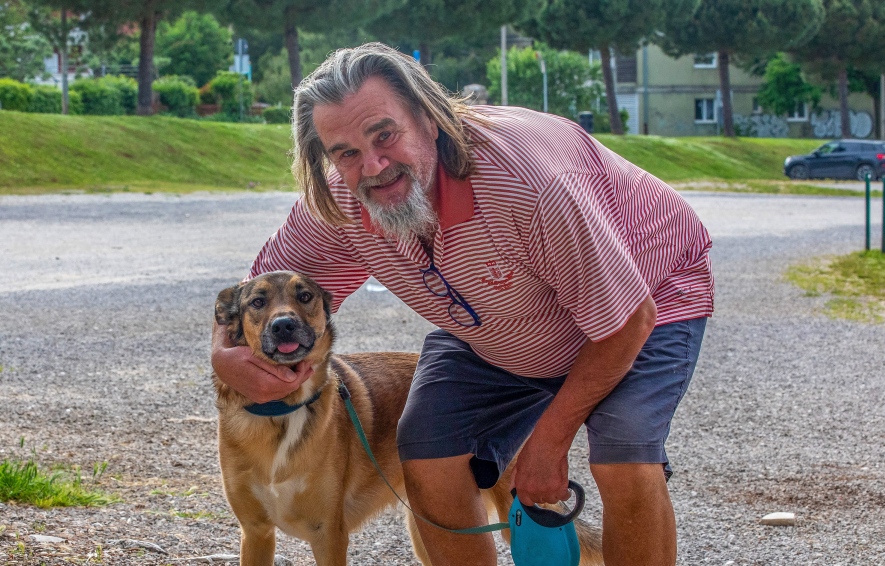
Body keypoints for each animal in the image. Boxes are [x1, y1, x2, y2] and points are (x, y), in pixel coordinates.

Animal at [213, 272, 600, 566]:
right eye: (257, 302)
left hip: (514, 511)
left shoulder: (329, 535)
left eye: (304, 296)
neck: (283, 410)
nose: (284, 326)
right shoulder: (256, 533)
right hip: (430, 526)